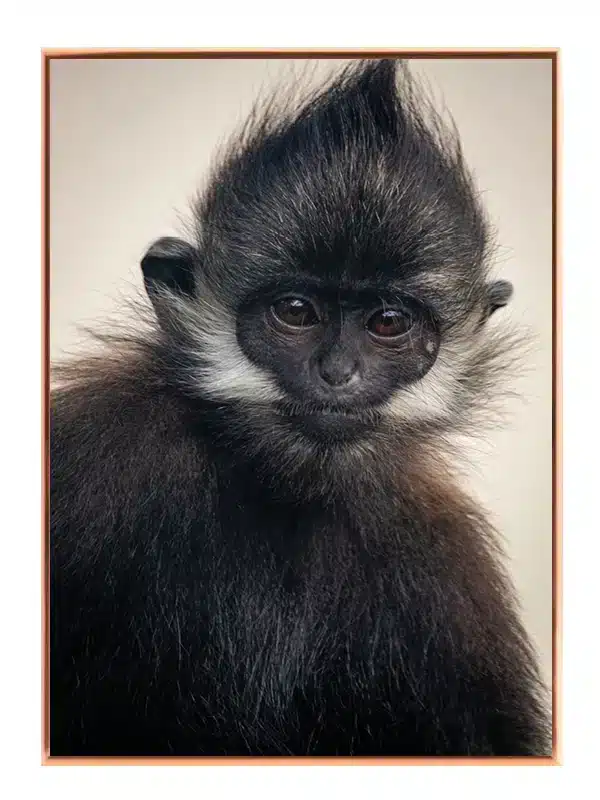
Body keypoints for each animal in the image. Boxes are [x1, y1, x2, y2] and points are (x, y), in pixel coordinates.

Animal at [49, 58, 551, 757]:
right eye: (296, 312)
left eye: (387, 323)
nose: (337, 373)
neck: (286, 492)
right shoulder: (101, 446)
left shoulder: (446, 556)